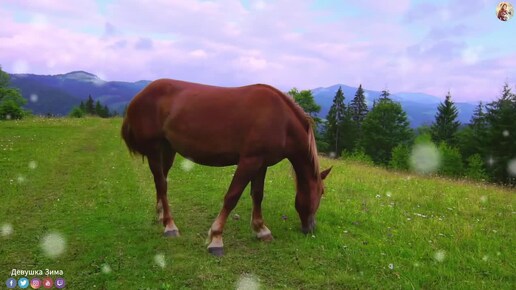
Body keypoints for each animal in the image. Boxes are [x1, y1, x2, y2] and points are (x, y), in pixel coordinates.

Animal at [121, 78, 330, 256]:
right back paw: (170, 226)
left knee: (161, 180)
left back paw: (161, 215)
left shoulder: (261, 163)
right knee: (161, 183)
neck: (282, 121)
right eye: (321, 193)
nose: (311, 228)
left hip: (168, 149)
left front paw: (261, 230)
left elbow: (257, 195)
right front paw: (216, 238)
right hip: (154, 149)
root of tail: (139, 97)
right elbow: (232, 197)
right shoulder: (249, 161)